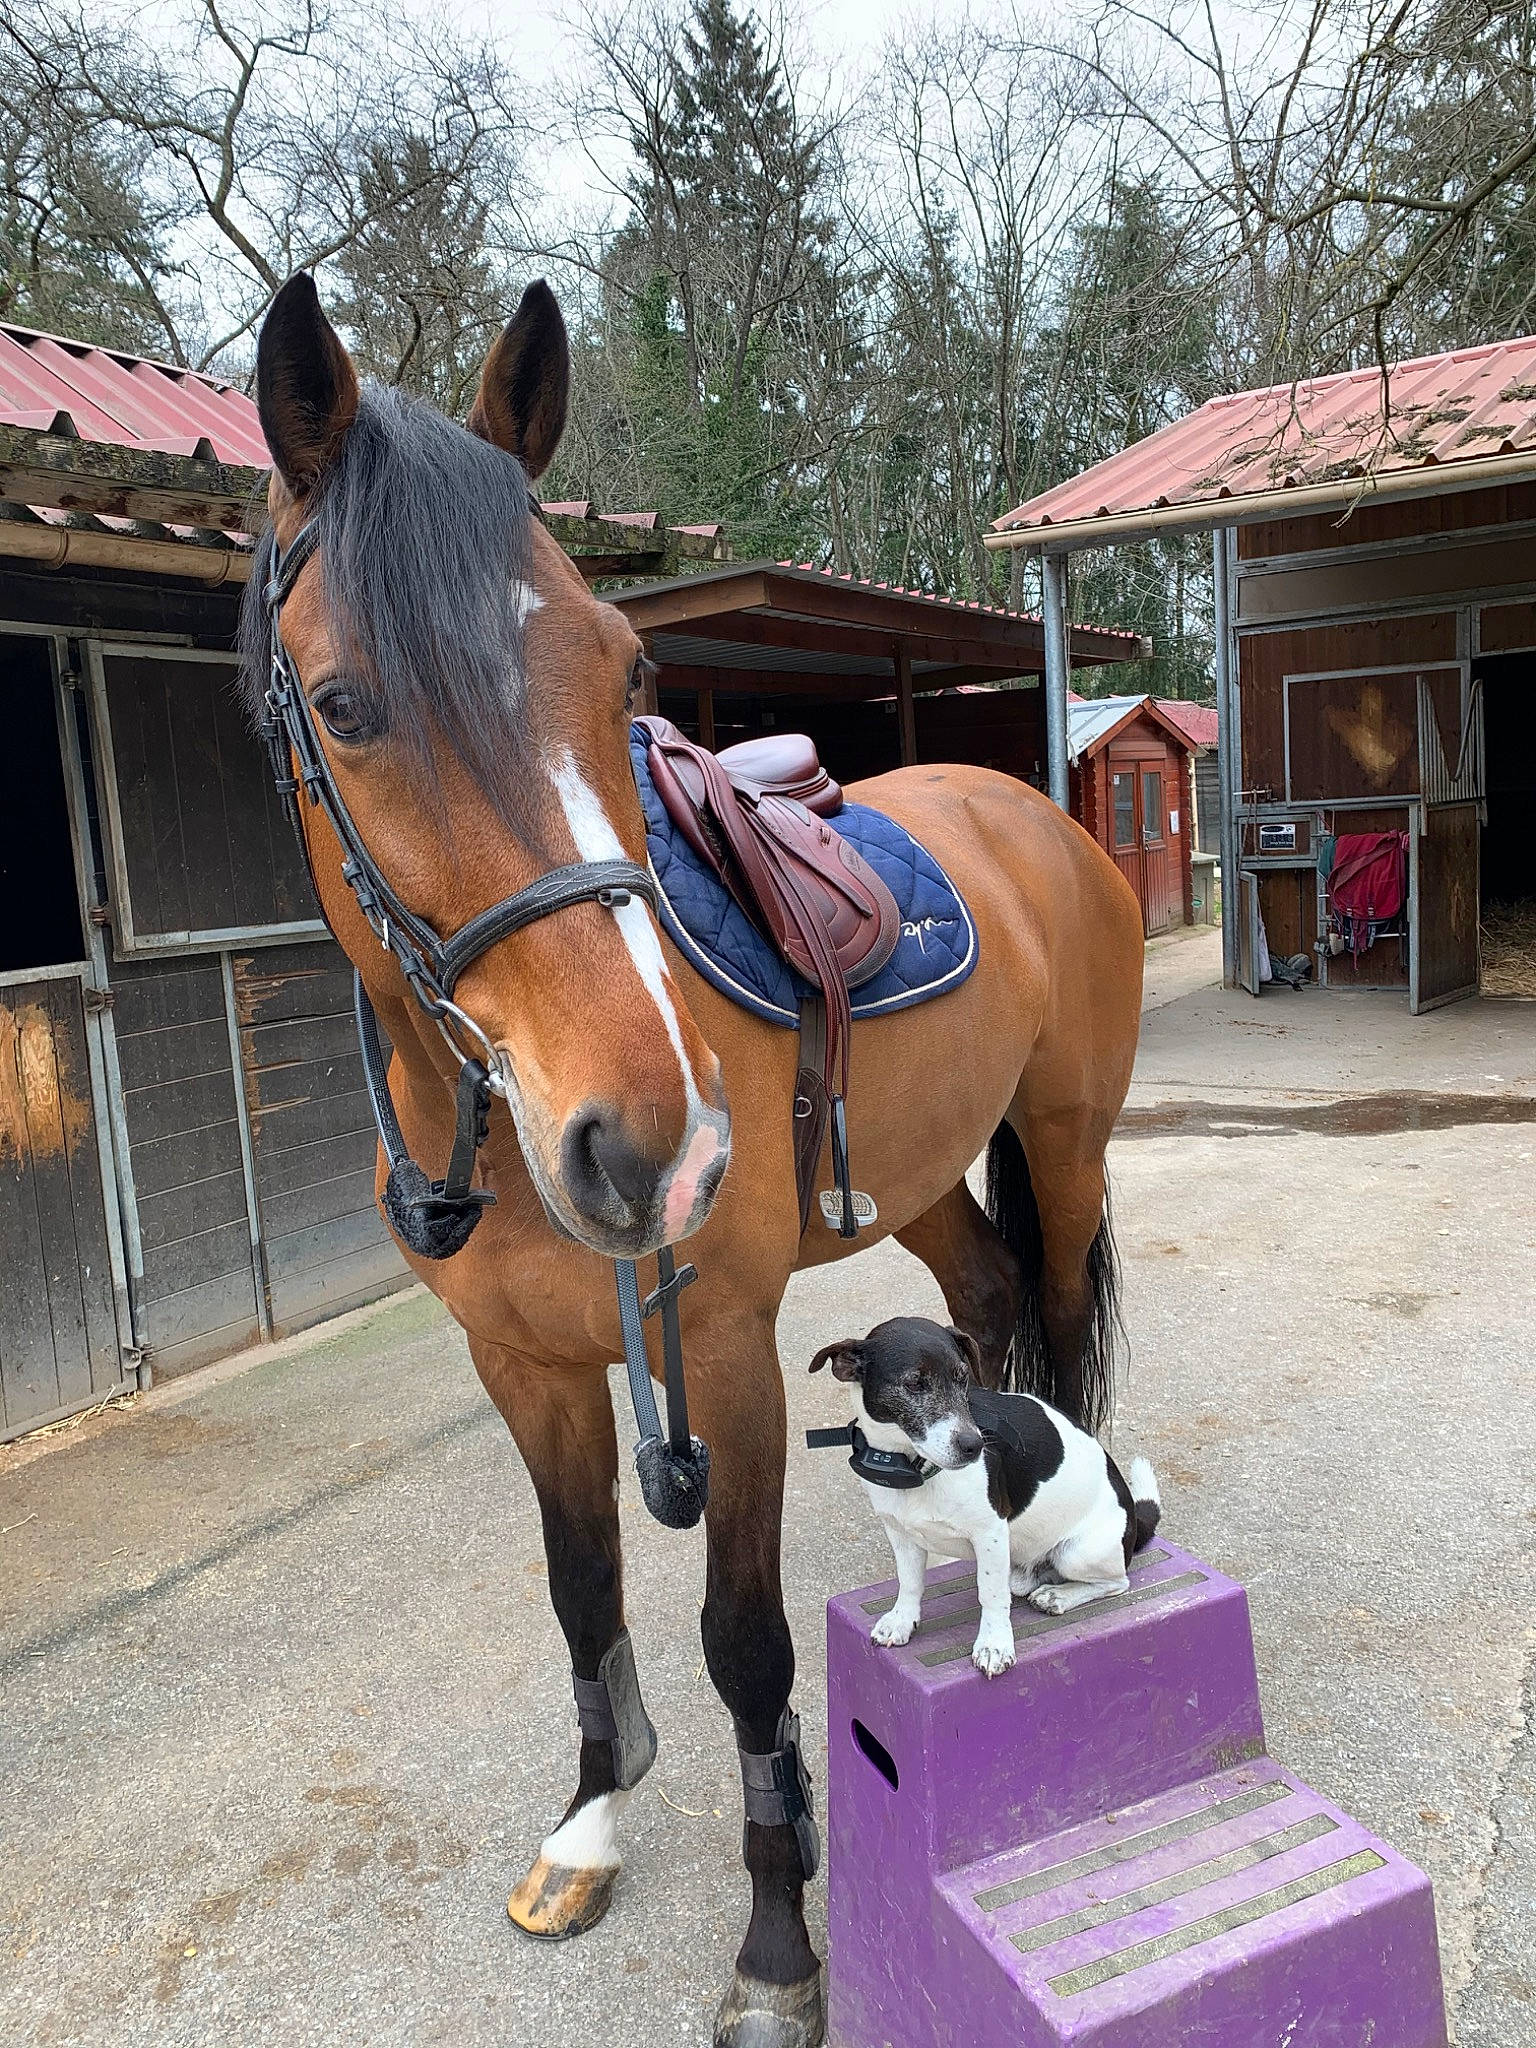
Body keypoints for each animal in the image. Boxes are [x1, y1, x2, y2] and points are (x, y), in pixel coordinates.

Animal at [242, 273, 1144, 2048]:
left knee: (1067, 1325)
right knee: (992, 1302)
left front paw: (779, 1940)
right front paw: (592, 1827)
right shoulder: (525, 1368)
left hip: (1066, 1140)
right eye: (346, 703)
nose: (655, 1138)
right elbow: (584, 1596)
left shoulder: (722, 1351)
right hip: (926, 1190)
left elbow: (743, 1644)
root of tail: (1039, 813)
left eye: (623, 666)